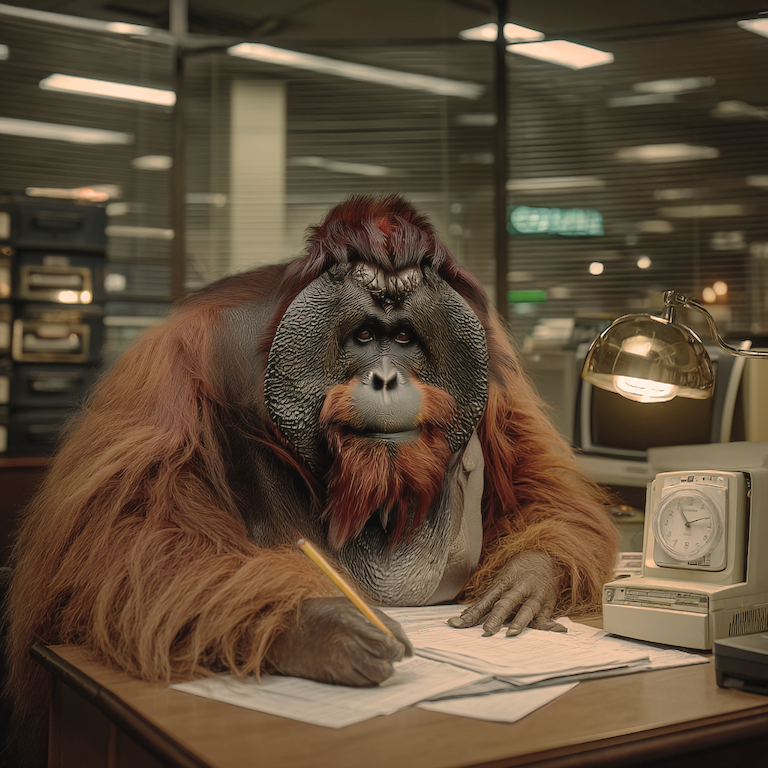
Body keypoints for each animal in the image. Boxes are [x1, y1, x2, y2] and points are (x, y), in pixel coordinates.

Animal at [4, 194, 618, 766]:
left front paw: (521, 582)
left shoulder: (497, 383)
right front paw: (324, 629)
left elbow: (538, 485)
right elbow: (134, 532)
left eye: (404, 339)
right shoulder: (173, 369)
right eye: (364, 336)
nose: (387, 378)